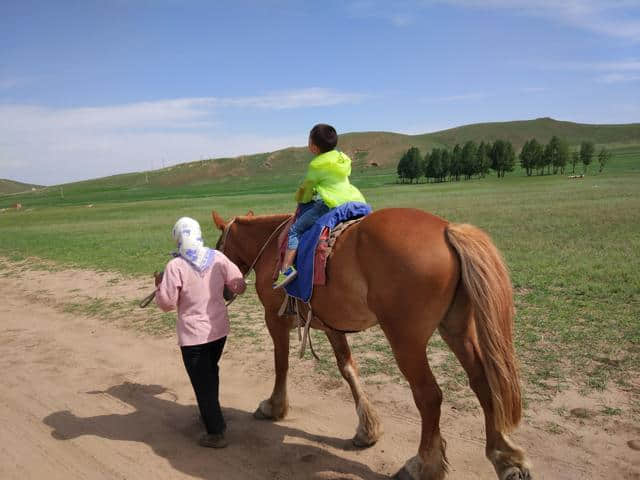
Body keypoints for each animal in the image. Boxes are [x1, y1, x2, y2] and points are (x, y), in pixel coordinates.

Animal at [212, 207, 532, 480]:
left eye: (218, 248)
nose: (225, 291)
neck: (269, 249)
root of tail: (446, 230)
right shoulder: (332, 325)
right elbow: (348, 369)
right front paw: (367, 428)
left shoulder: (274, 319)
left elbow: (281, 364)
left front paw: (274, 407)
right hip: (456, 329)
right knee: (482, 383)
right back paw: (506, 458)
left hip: (406, 341)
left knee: (429, 396)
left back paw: (422, 465)